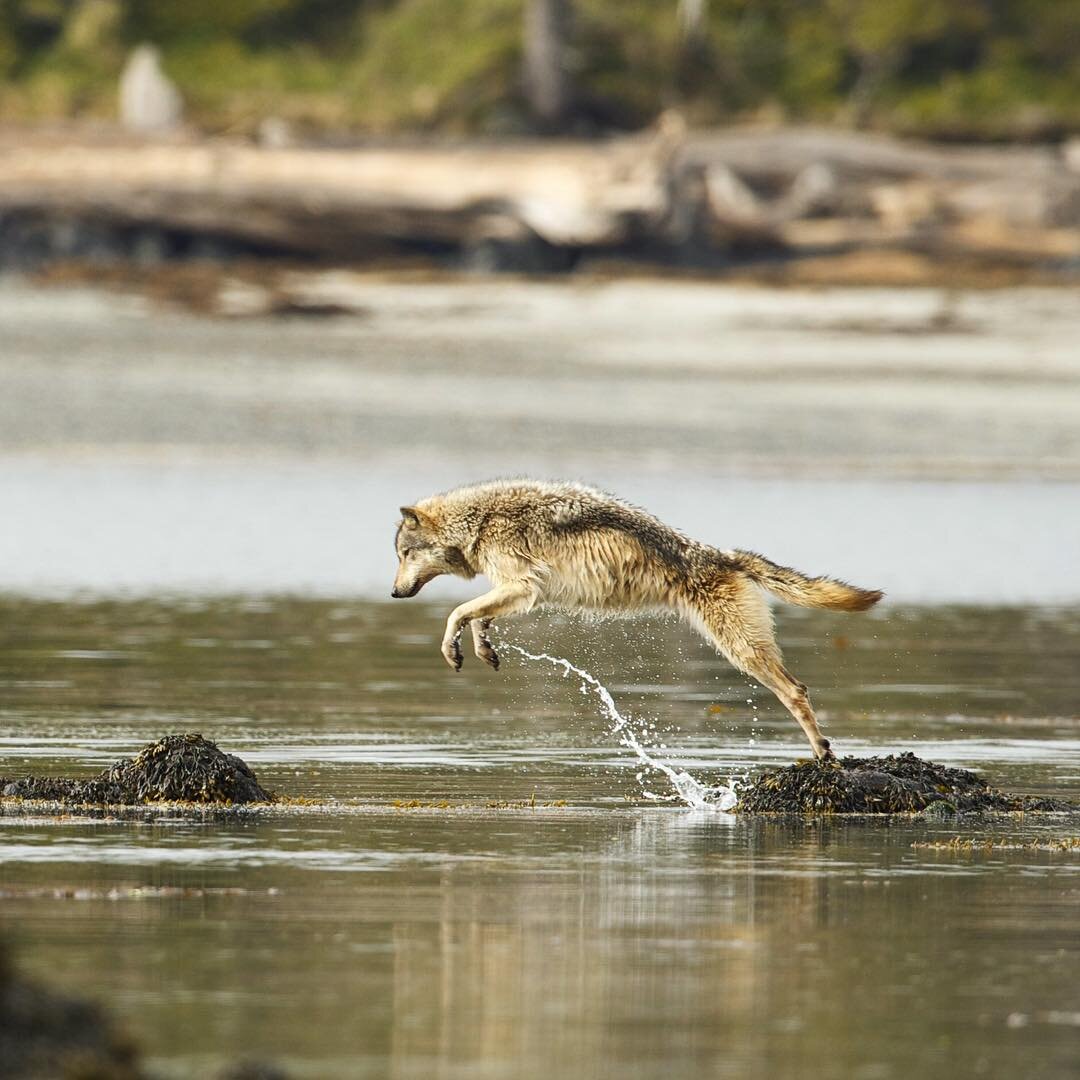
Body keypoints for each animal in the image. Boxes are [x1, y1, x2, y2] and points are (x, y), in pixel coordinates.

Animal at [393, 481, 881, 760]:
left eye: (403, 554)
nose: (394, 593)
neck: (479, 520)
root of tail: (725, 556)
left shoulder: (523, 587)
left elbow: (456, 612)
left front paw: (453, 649)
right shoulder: (515, 592)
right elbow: (476, 617)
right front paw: (482, 648)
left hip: (742, 651)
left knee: (796, 691)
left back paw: (822, 751)